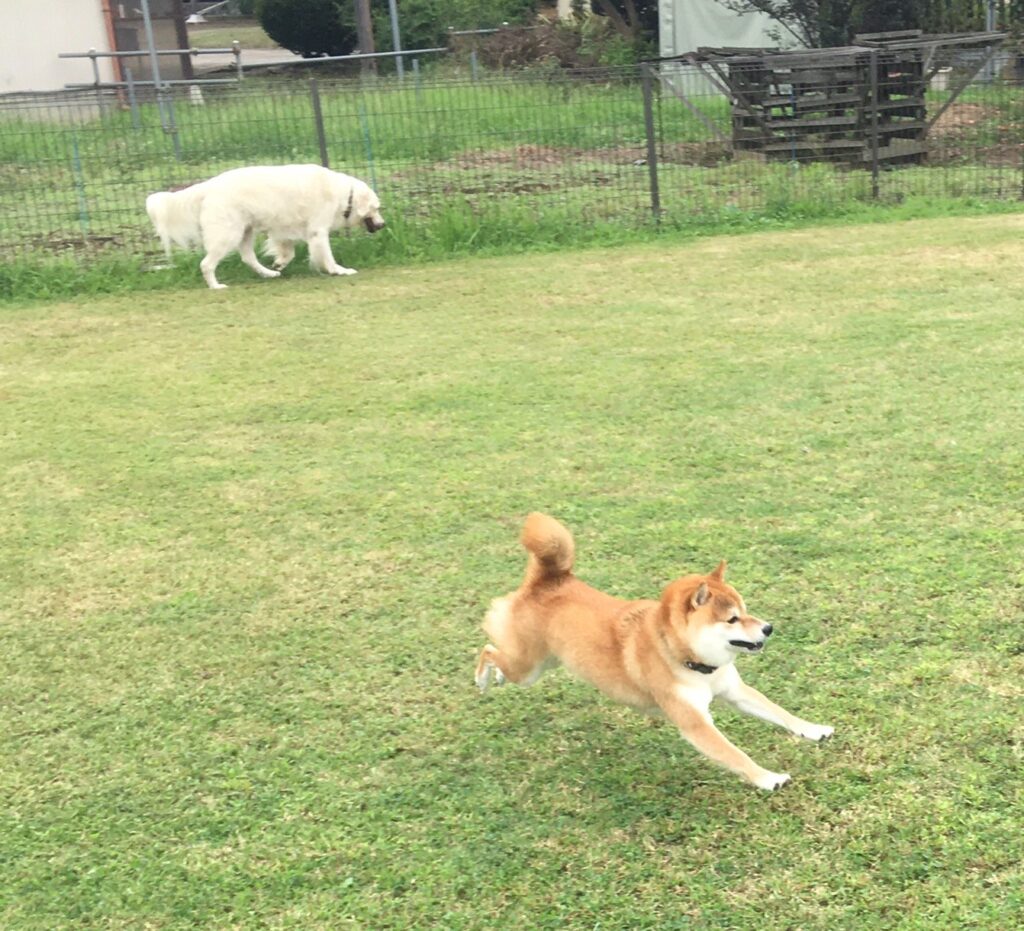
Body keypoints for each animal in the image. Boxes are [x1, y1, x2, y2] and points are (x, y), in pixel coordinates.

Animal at [145, 164, 385, 289]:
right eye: (376, 208)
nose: (383, 224)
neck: (346, 195)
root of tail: (208, 186)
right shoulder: (318, 231)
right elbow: (327, 257)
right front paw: (339, 271)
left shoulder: (284, 230)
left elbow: (287, 252)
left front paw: (279, 263)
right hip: (229, 235)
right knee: (206, 264)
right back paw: (216, 286)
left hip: (246, 232)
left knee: (248, 258)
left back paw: (269, 273)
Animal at [475, 513, 834, 790]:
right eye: (732, 619)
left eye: (747, 610)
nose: (769, 628)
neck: (688, 661)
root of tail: (550, 580)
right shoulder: (695, 723)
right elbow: (735, 753)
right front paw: (768, 778)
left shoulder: (734, 691)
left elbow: (779, 712)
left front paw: (814, 729)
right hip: (527, 667)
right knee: (489, 649)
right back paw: (483, 678)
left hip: (545, 663)